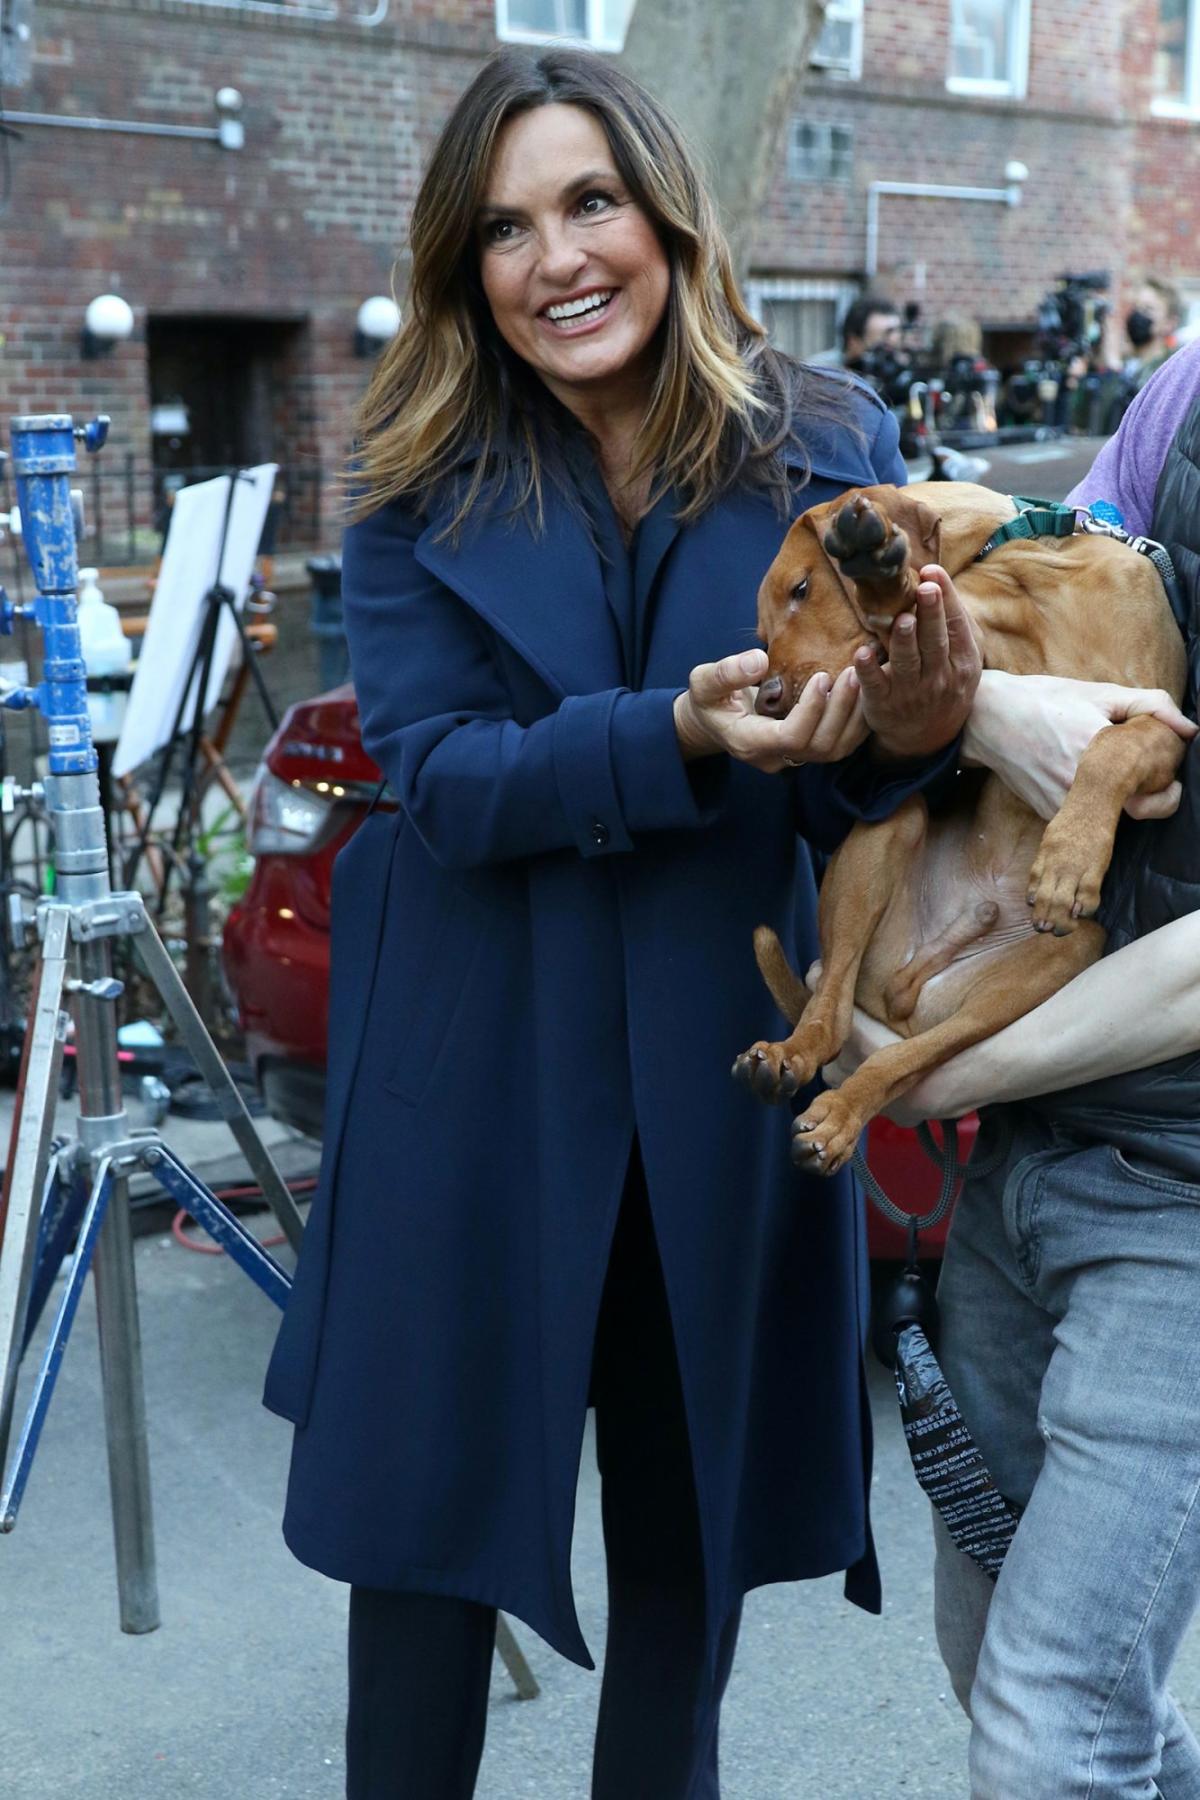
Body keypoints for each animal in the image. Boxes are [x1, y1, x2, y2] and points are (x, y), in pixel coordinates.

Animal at [734, 478, 1194, 1173]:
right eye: (761, 630)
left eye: (802, 590)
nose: (766, 700)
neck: (1033, 558)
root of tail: (904, 992)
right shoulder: (969, 641)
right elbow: (911, 616)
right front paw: (877, 569)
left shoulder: (1162, 725)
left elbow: (1112, 749)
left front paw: (1069, 859)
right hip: (891, 825)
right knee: (831, 1014)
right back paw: (797, 1062)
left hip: (1068, 953)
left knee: (903, 1058)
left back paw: (839, 1112)